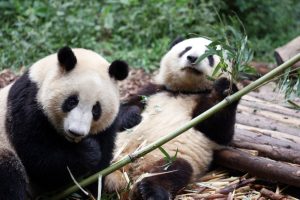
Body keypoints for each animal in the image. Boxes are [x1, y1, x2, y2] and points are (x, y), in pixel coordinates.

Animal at [0, 46, 127, 198]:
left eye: (96, 109)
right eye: (72, 101)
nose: (76, 132)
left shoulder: (107, 127)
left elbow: (102, 160)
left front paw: (92, 189)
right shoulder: (28, 106)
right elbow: (39, 156)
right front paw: (89, 150)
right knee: (9, 173)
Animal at [105, 36, 239, 199]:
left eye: (210, 56)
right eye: (187, 49)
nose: (192, 58)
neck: (185, 90)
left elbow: (220, 131)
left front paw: (225, 89)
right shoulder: (153, 90)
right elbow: (123, 108)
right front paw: (131, 117)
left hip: (170, 156)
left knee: (173, 170)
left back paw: (150, 190)